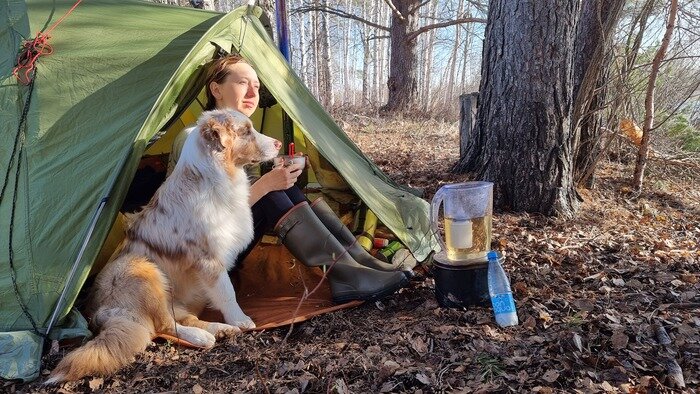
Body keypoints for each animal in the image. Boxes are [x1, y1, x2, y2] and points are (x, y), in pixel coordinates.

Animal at [46, 109, 284, 384]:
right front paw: (242, 319)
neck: (213, 176)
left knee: (183, 318)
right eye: (245, 131)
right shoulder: (209, 259)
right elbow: (227, 292)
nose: (279, 143)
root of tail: (97, 312)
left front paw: (234, 322)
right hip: (139, 268)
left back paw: (221, 329)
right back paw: (205, 336)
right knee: (164, 325)